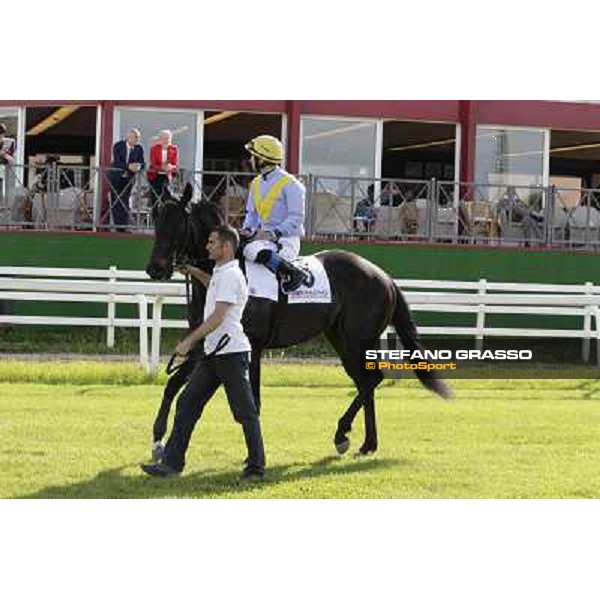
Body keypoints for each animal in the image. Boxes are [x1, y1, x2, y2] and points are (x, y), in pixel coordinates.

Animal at [145, 185, 450, 458]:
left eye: (177, 224)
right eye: (155, 221)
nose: (155, 269)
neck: (220, 274)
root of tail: (383, 276)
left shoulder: (250, 346)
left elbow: (252, 402)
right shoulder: (206, 344)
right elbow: (173, 386)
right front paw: (158, 439)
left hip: (359, 339)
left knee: (371, 379)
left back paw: (342, 433)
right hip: (341, 339)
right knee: (364, 381)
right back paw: (367, 443)